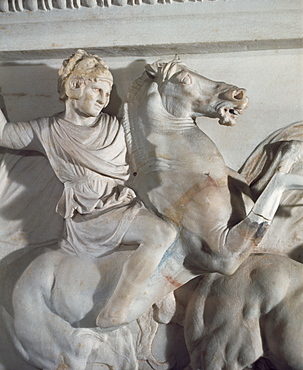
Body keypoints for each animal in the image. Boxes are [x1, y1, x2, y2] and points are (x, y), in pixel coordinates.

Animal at [0, 57, 303, 368]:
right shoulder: (222, 254)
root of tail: (10, 272)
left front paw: (292, 149)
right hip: (65, 353)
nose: (238, 95)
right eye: (184, 79)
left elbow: (268, 179)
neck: (183, 170)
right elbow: (275, 189)